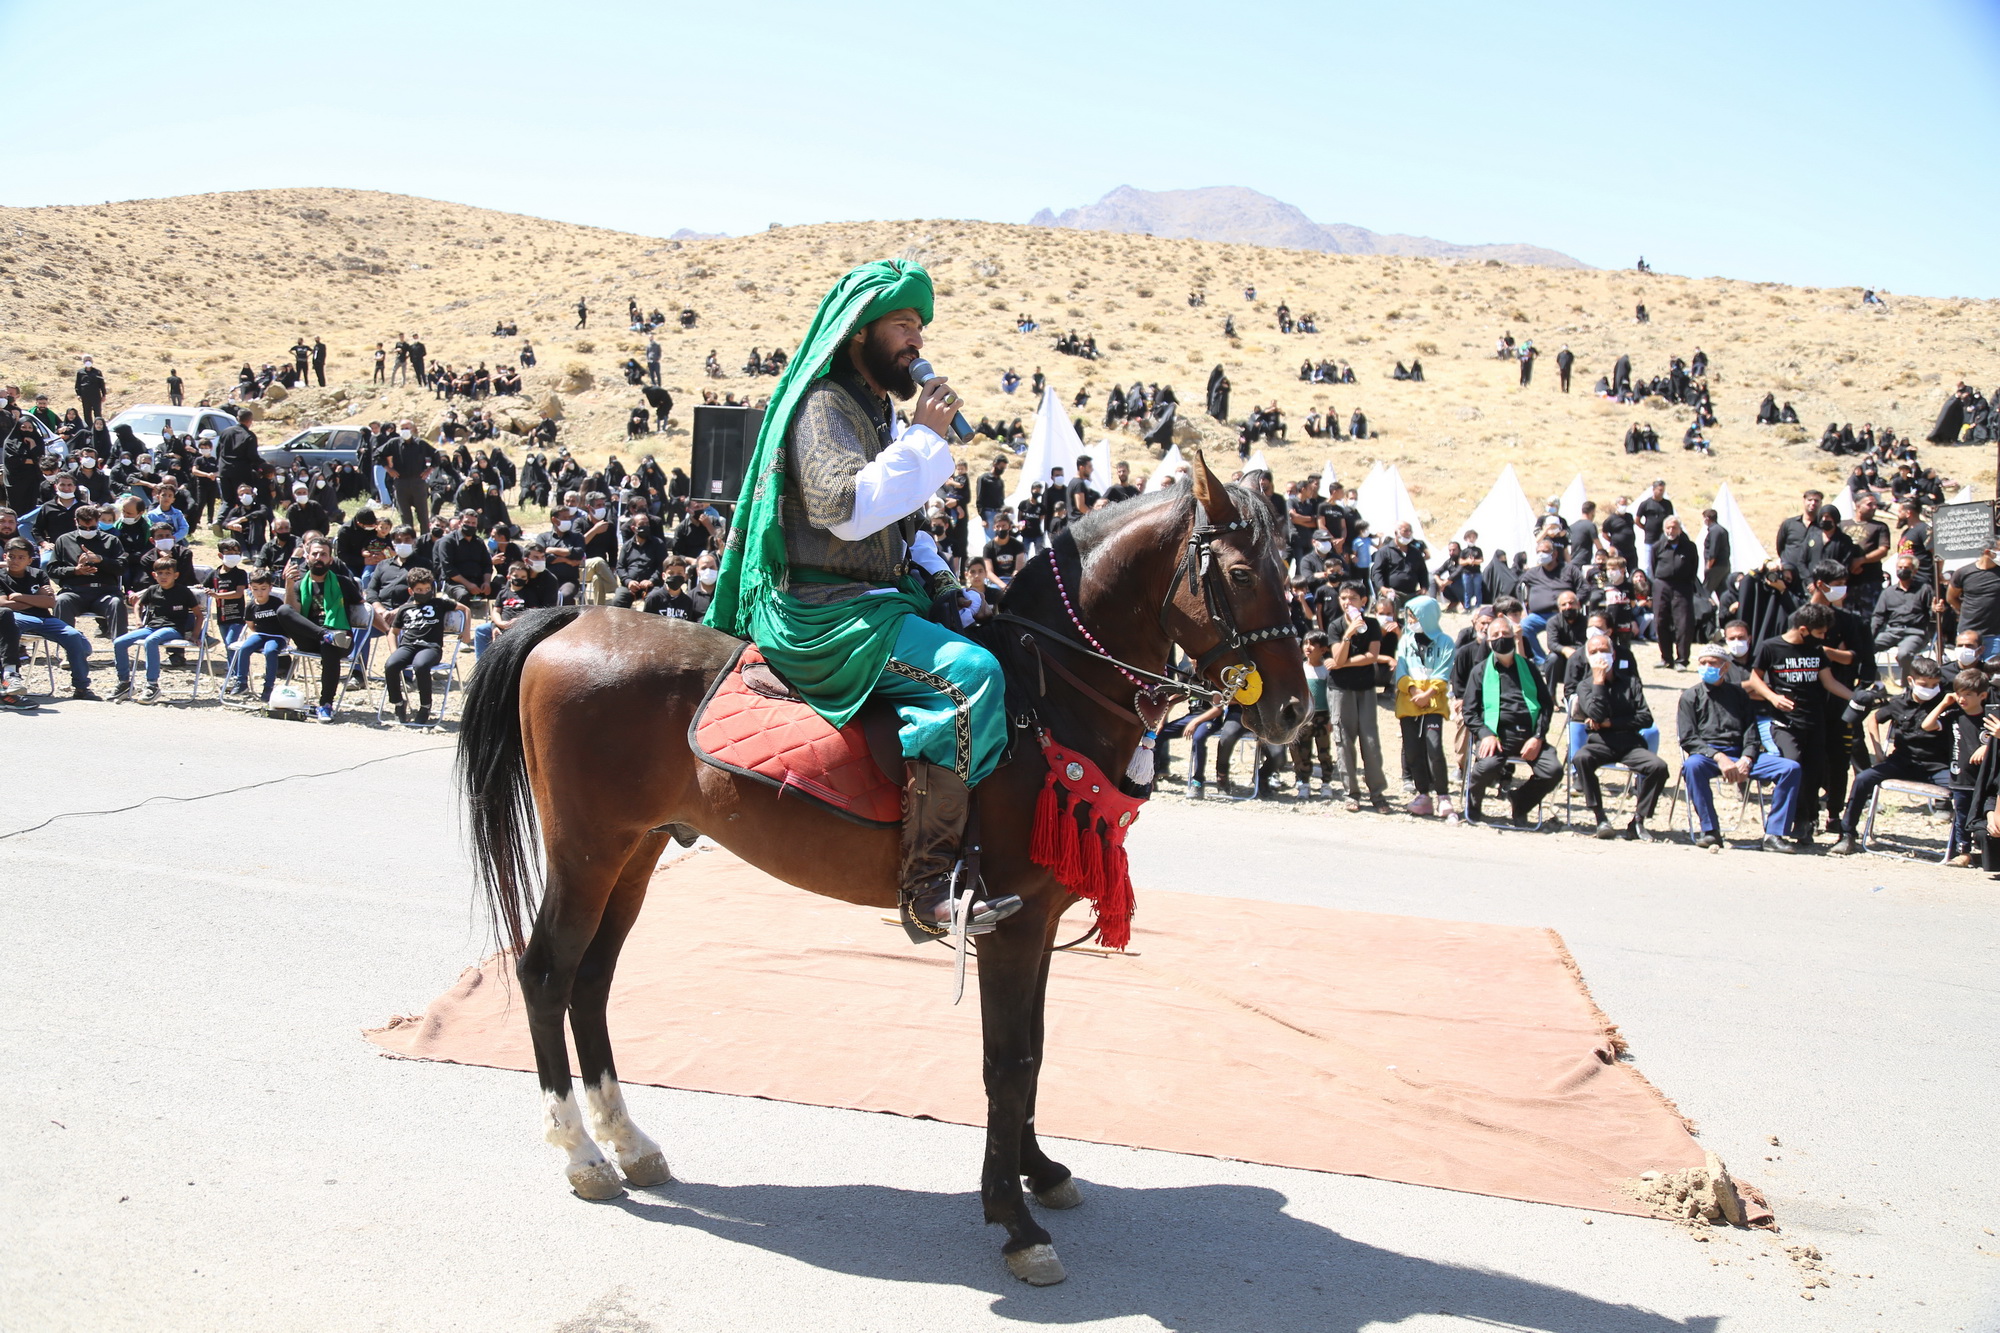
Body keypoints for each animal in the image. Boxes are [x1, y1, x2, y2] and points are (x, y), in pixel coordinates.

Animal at [458, 452, 1304, 1280]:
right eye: (1238, 572)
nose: (1293, 709)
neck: (1044, 702)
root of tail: (577, 615)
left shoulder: (1038, 924)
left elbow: (1033, 1051)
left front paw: (1039, 1170)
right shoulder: (1009, 926)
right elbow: (1007, 1062)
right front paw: (1013, 1218)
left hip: (634, 853)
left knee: (591, 982)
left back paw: (628, 1140)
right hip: (586, 852)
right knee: (547, 975)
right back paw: (581, 1151)